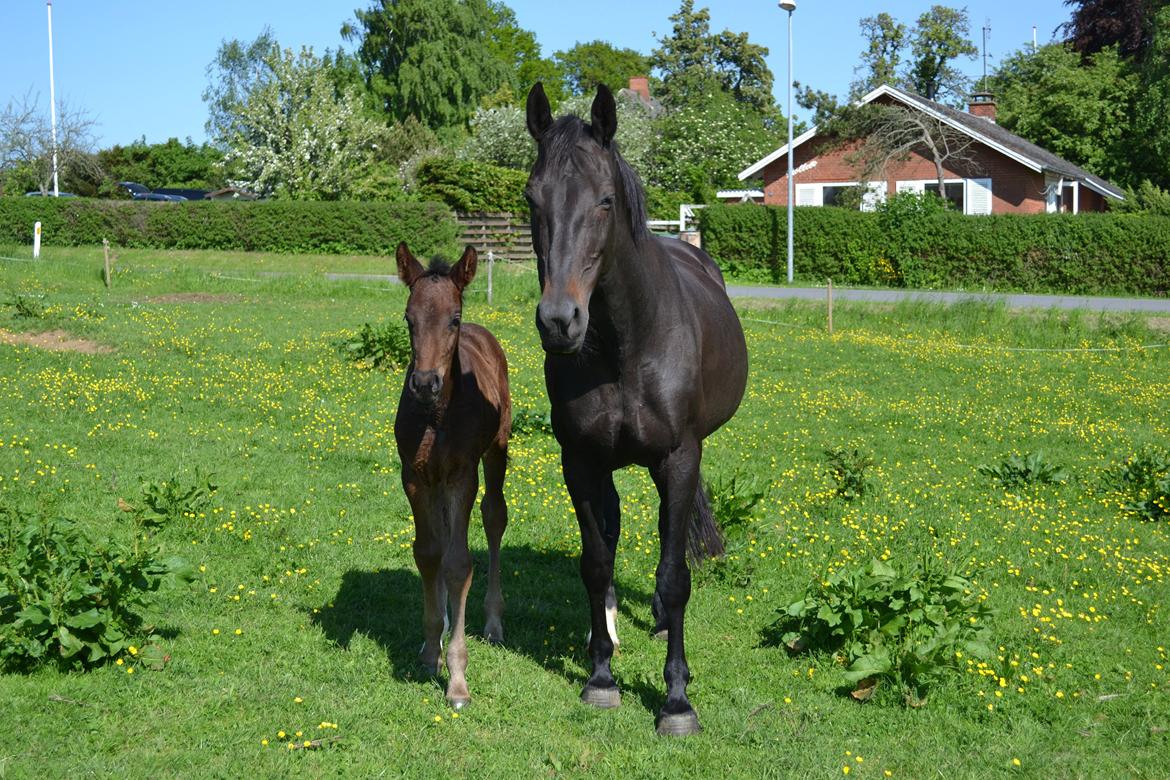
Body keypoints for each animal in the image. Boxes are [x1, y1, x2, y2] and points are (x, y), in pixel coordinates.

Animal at [524, 87, 744, 739]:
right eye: (532, 199)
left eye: (604, 200)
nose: (559, 322)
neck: (626, 345)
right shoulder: (581, 461)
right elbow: (596, 561)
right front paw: (600, 676)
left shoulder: (679, 458)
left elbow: (675, 575)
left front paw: (676, 699)